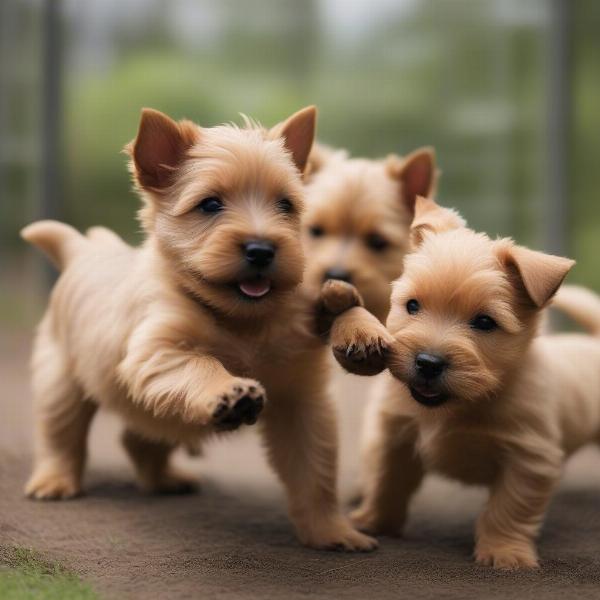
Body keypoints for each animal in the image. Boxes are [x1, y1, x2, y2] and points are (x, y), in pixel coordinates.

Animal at [24, 106, 380, 552]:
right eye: (210, 205)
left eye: (286, 204)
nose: (262, 249)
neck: (243, 319)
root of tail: (82, 250)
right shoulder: (158, 353)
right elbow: (202, 365)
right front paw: (231, 392)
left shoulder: (303, 401)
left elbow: (315, 472)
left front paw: (330, 531)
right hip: (61, 383)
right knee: (60, 434)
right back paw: (54, 481)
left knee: (140, 436)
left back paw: (164, 479)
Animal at [324, 198, 600, 572]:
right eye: (412, 305)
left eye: (484, 322)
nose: (427, 362)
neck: (459, 405)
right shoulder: (395, 436)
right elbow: (387, 482)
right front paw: (373, 521)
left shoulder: (529, 458)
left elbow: (507, 508)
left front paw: (504, 551)